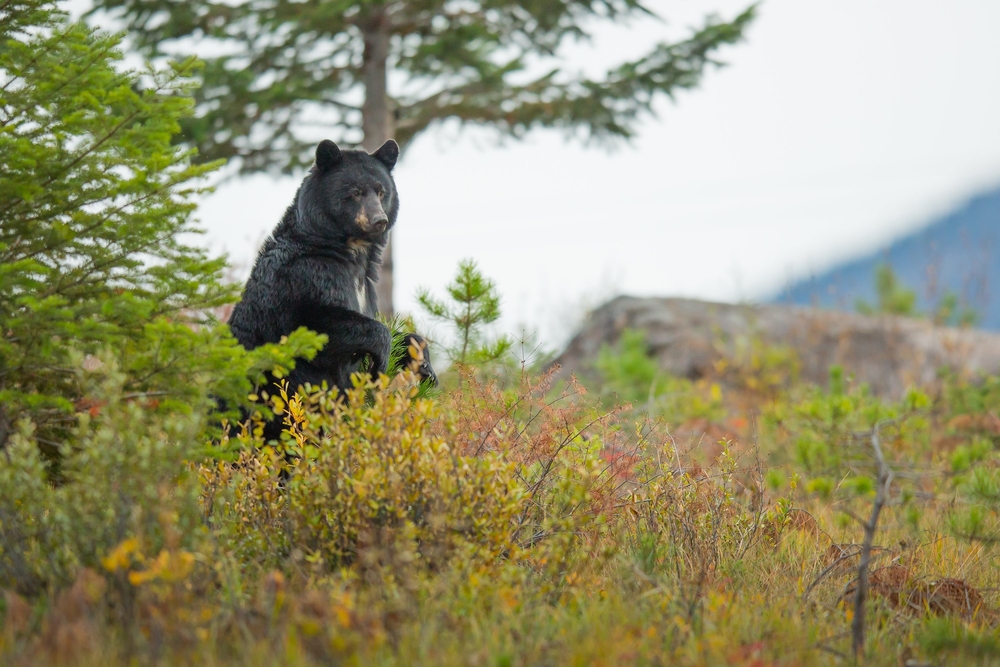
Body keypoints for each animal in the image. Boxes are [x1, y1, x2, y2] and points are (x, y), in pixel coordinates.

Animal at [229, 138, 432, 436]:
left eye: (381, 191)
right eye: (356, 192)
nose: (379, 220)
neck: (349, 252)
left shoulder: (366, 287)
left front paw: (423, 360)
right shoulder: (308, 276)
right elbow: (318, 326)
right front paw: (381, 357)